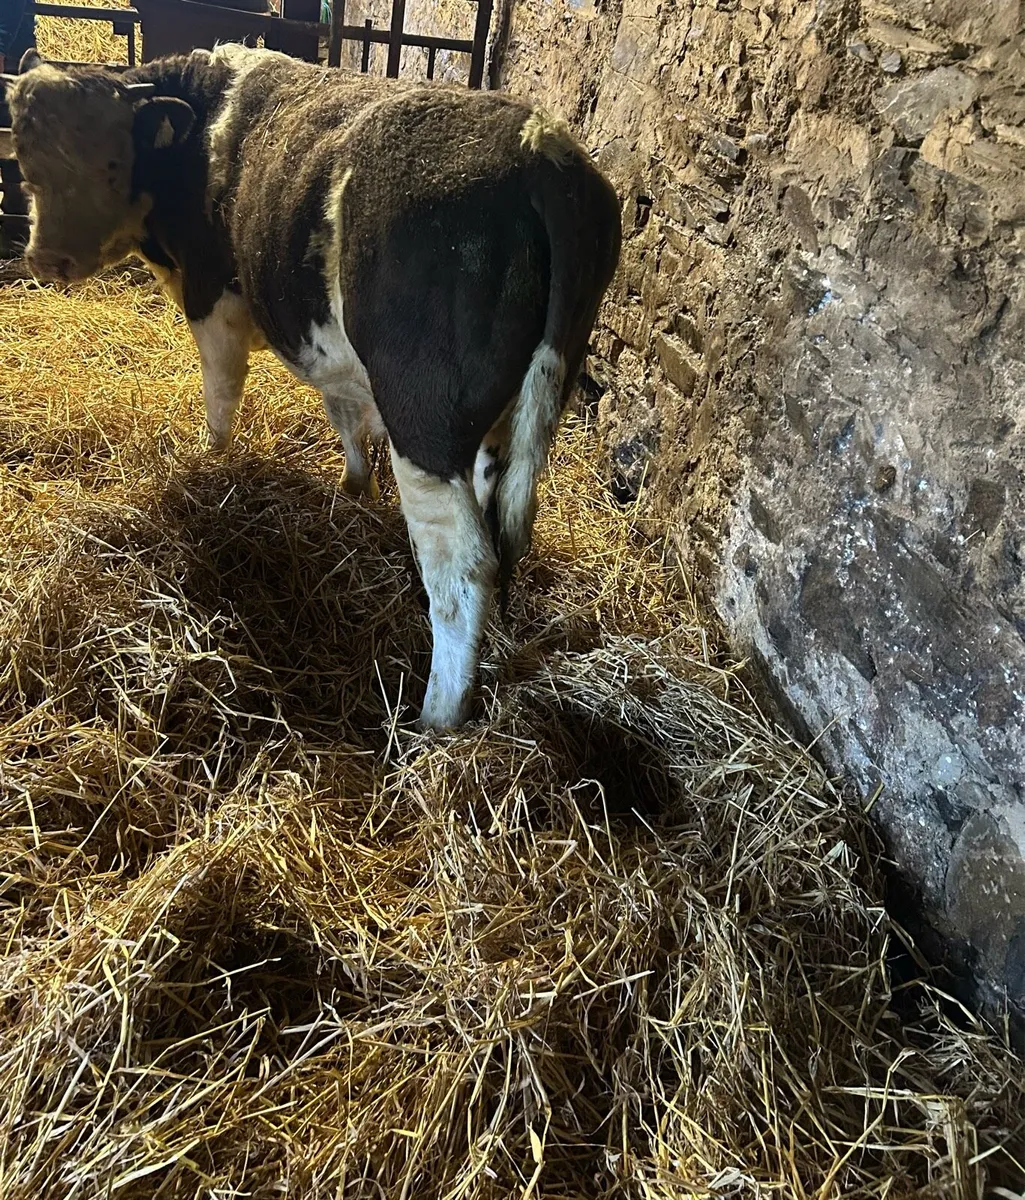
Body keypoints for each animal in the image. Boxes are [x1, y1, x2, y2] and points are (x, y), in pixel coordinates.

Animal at [0, 44, 622, 731]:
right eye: (24, 161)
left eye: (113, 163)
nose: (47, 259)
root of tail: (542, 148)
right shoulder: (329, 348)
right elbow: (345, 420)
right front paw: (352, 494)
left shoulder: (213, 297)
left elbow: (221, 397)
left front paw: (213, 466)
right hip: (507, 413)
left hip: (424, 422)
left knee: (462, 566)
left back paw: (435, 719)